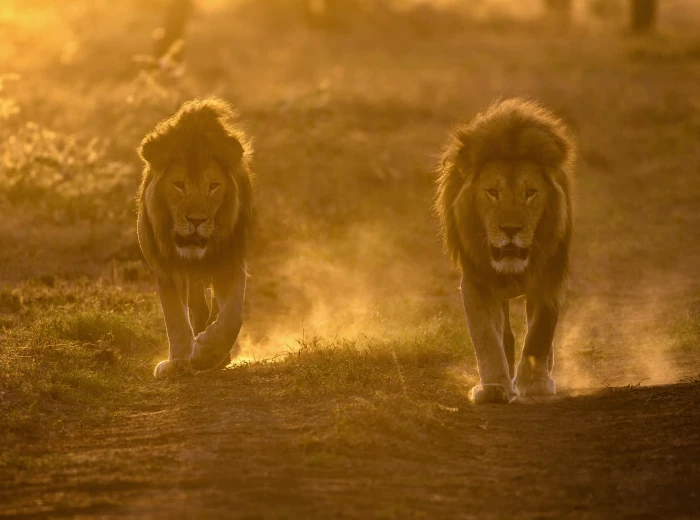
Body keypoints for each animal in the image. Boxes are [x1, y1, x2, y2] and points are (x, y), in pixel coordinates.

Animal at [137, 98, 253, 378]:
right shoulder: (166, 268)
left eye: (213, 186)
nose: (197, 221)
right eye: (179, 185)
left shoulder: (231, 262)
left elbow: (232, 316)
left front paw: (206, 353)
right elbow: (175, 317)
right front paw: (178, 360)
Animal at [435, 98, 575, 404]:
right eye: (492, 192)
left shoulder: (549, 277)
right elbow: (486, 337)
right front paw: (492, 386)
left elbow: (539, 333)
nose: (511, 229)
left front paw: (535, 382)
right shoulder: (476, 282)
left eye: (530, 193)